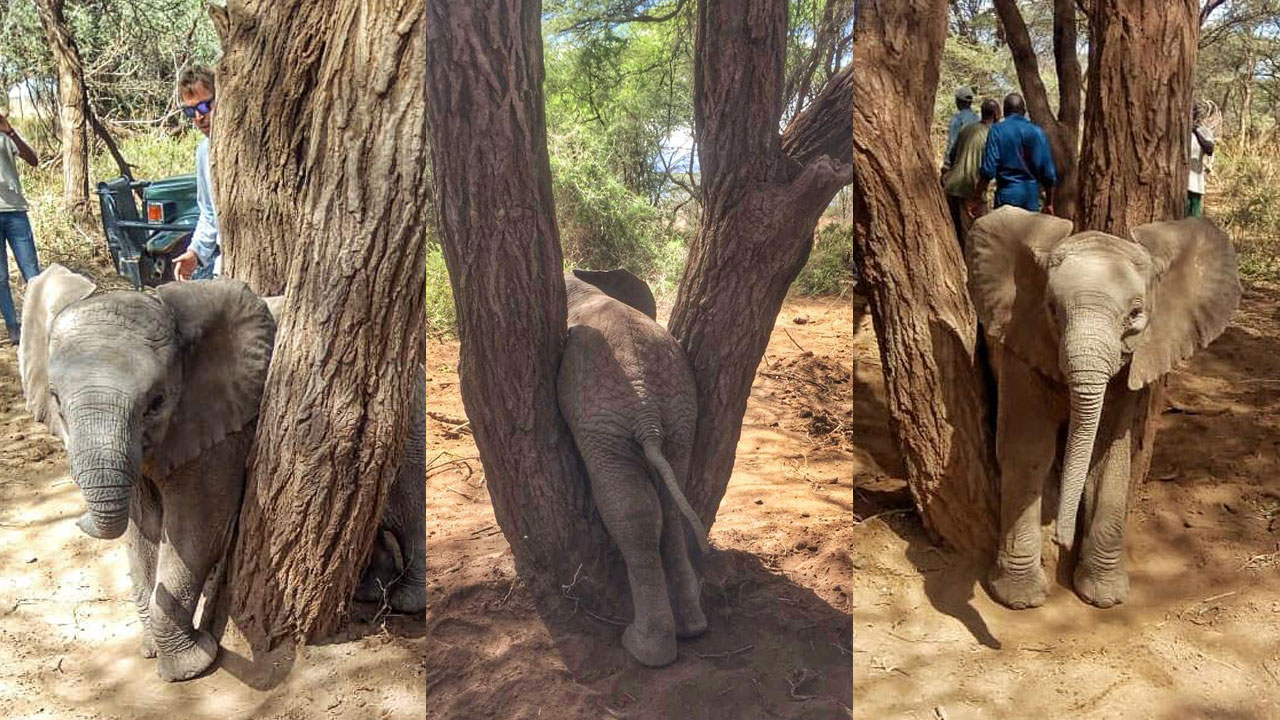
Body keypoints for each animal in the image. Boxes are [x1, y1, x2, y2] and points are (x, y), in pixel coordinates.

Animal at [18, 265, 426, 682]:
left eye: (157, 402)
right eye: (56, 401)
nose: (78, 518)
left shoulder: (220, 429)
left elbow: (195, 530)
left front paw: (191, 666)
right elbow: (142, 533)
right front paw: (154, 650)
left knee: (406, 515)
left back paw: (405, 602)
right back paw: (369, 592)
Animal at [557, 268, 709, 667]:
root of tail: (647, 409)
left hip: (603, 425)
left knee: (631, 513)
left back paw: (643, 649)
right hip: (680, 412)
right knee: (669, 504)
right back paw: (692, 627)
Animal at [965, 206, 1240, 610]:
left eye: (1136, 314)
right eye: (1052, 310)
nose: (1060, 539)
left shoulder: (1129, 366)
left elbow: (1109, 454)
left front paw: (1105, 596)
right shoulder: (1022, 340)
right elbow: (1028, 450)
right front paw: (1019, 599)